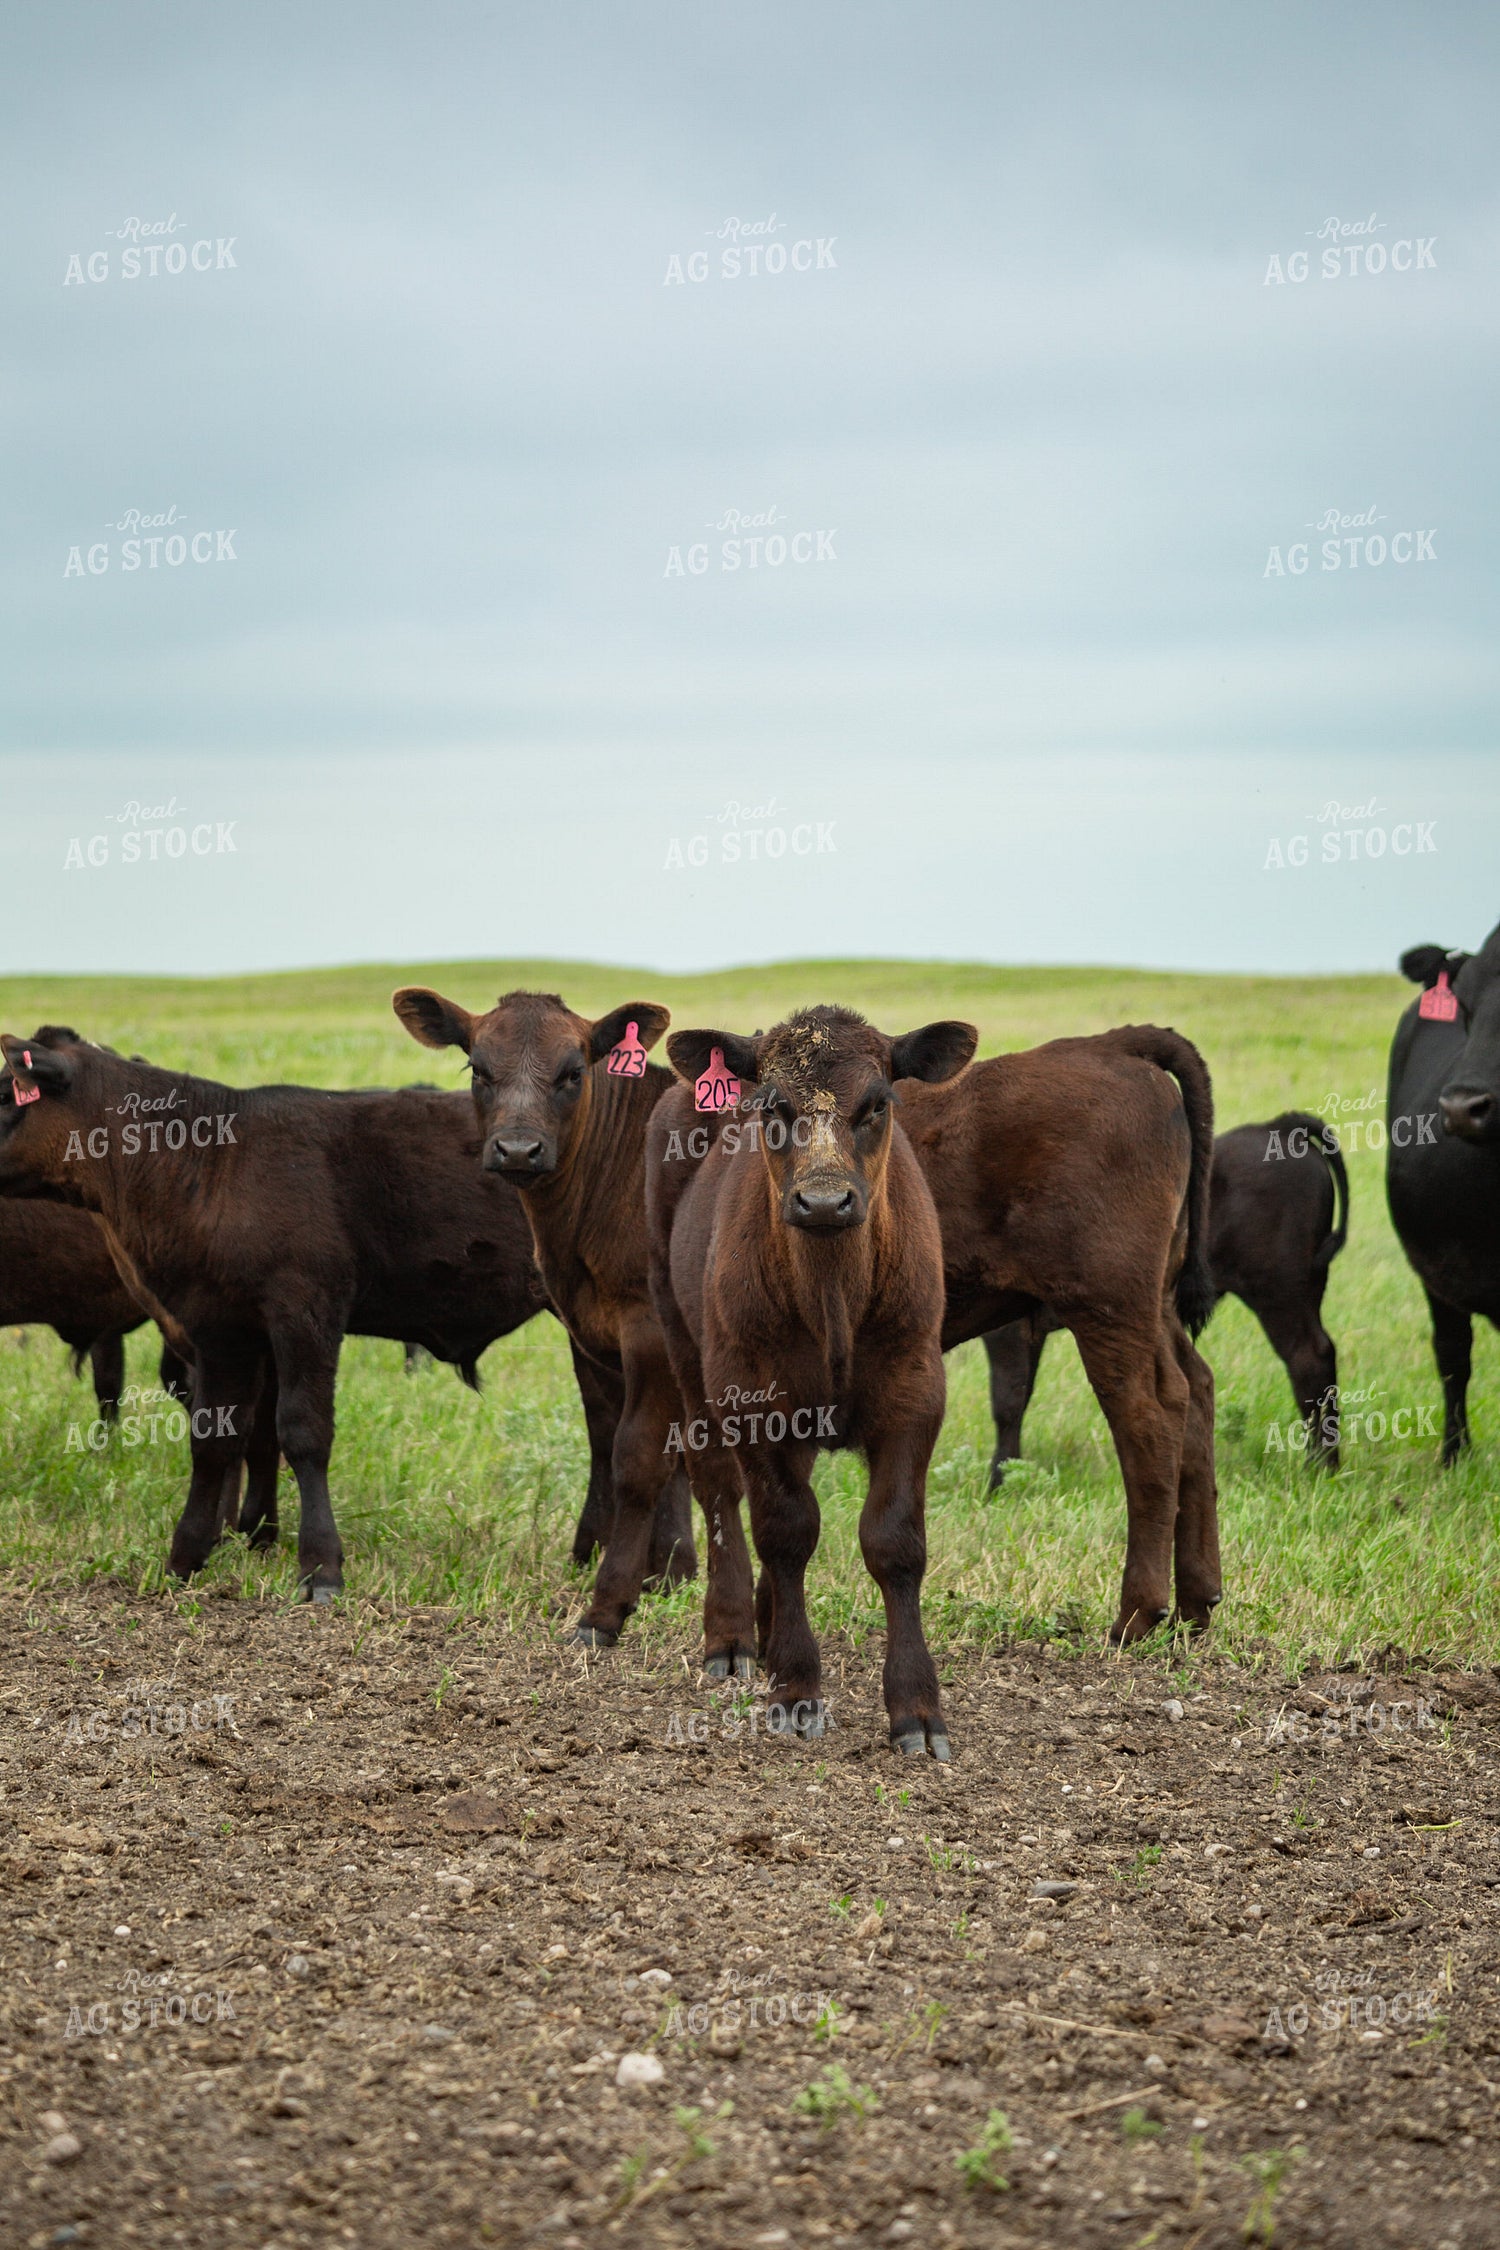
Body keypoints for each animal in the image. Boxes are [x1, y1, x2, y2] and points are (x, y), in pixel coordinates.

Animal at [649, 1007, 976, 1755]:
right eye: (773, 1106)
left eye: (877, 1104)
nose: (824, 1202)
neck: (832, 1296)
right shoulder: (751, 1398)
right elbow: (785, 1529)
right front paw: (796, 1686)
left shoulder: (916, 1392)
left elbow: (894, 1541)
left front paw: (916, 1707)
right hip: (683, 1348)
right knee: (721, 1493)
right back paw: (735, 1636)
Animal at [983, 1109, 1349, 1478]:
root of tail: (1277, 1126)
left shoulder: (1006, 1329)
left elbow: (1007, 1400)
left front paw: (998, 1480)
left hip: (1280, 1294)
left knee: (1308, 1357)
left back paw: (1318, 1467)